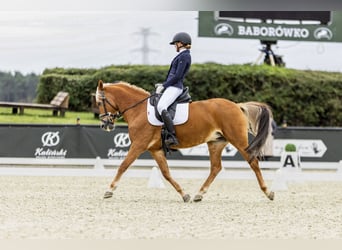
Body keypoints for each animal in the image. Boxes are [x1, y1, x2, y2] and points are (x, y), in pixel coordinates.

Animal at [95, 81, 276, 202]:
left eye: (99, 102)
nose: (105, 125)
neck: (138, 110)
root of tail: (237, 105)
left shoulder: (138, 145)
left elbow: (123, 165)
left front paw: (109, 190)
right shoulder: (155, 149)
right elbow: (166, 173)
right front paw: (184, 194)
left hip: (237, 140)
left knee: (253, 162)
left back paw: (268, 192)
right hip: (216, 143)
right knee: (216, 168)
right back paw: (199, 194)